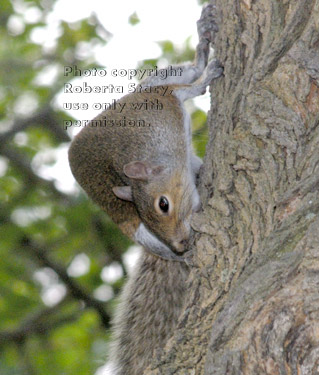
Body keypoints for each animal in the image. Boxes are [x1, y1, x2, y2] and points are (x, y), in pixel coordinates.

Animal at [68, 4, 222, 374]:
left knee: (182, 71)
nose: (180, 244)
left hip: (149, 88)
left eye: (163, 204)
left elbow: (187, 89)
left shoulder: (162, 101)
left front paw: (206, 76)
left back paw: (204, 45)